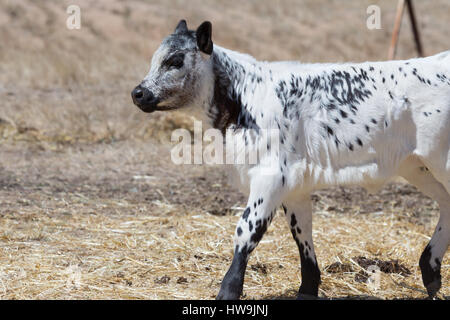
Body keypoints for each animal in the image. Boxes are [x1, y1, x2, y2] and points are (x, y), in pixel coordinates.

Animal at [133, 20, 450, 300]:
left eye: (175, 61)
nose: (138, 93)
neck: (243, 97)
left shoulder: (271, 175)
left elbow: (247, 230)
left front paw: (228, 291)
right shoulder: (295, 184)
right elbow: (302, 232)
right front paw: (308, 288)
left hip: (439, 160)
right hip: (417, 166)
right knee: (447, 203)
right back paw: (430, 271)